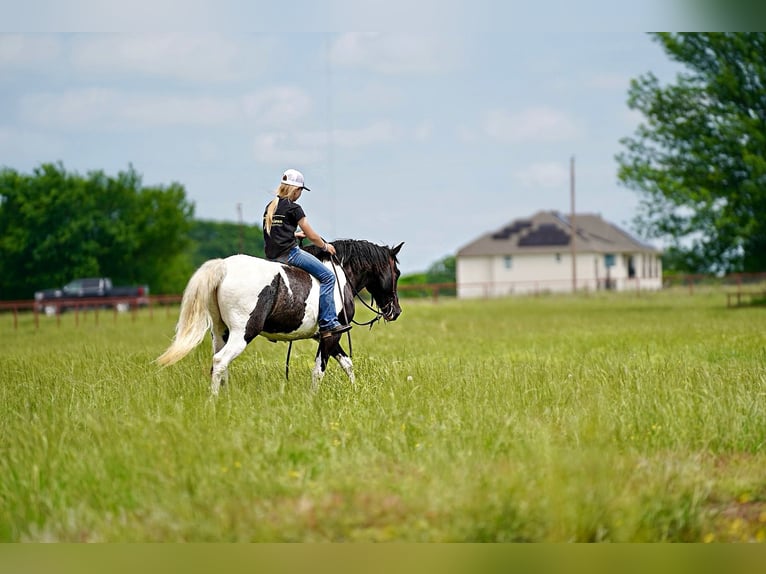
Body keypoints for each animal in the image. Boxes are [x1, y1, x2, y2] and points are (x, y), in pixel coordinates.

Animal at [157, 240, 408, 396]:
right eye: (396, 273)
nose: (395, 311)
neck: (340, 275)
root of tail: (224, 267)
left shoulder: (325, 335)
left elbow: (347, 364)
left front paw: (356, 391)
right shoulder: (331, 336)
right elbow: (319, 370)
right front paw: (313, 400)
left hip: (220, 333)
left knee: (220, 364)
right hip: (243, 333)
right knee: (220, 361)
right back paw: (213, 402)